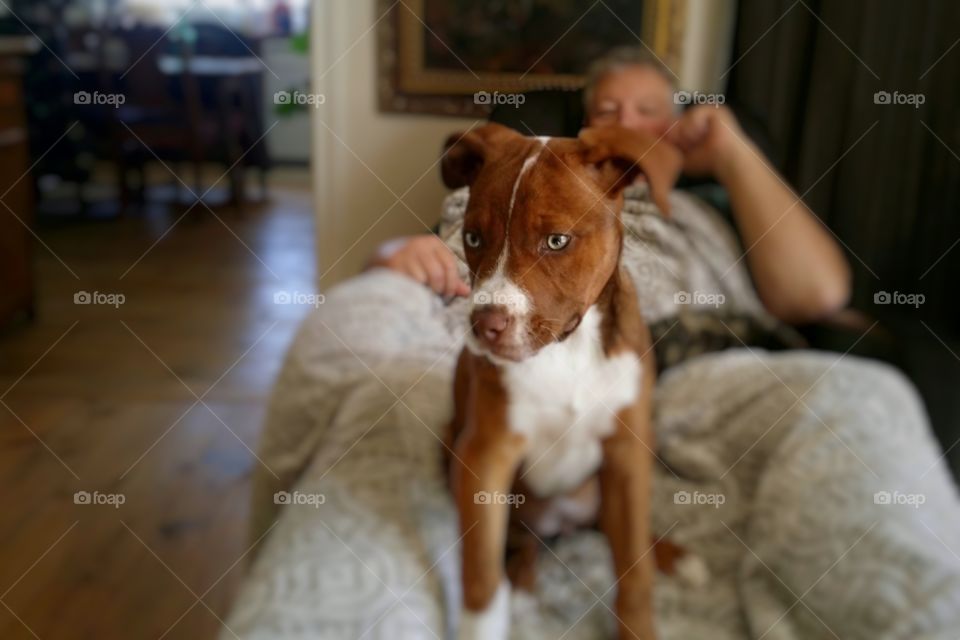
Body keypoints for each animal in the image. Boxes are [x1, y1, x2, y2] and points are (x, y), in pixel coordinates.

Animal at [446, 121, 688, 640]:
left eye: (556, 241)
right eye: (472, 237)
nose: (484, 325)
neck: (566, 350)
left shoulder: (626, 452)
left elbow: (633, 565)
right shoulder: (486, 453)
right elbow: (480, 570)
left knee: (619, 532)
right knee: (519, 542)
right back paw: (521, 579)